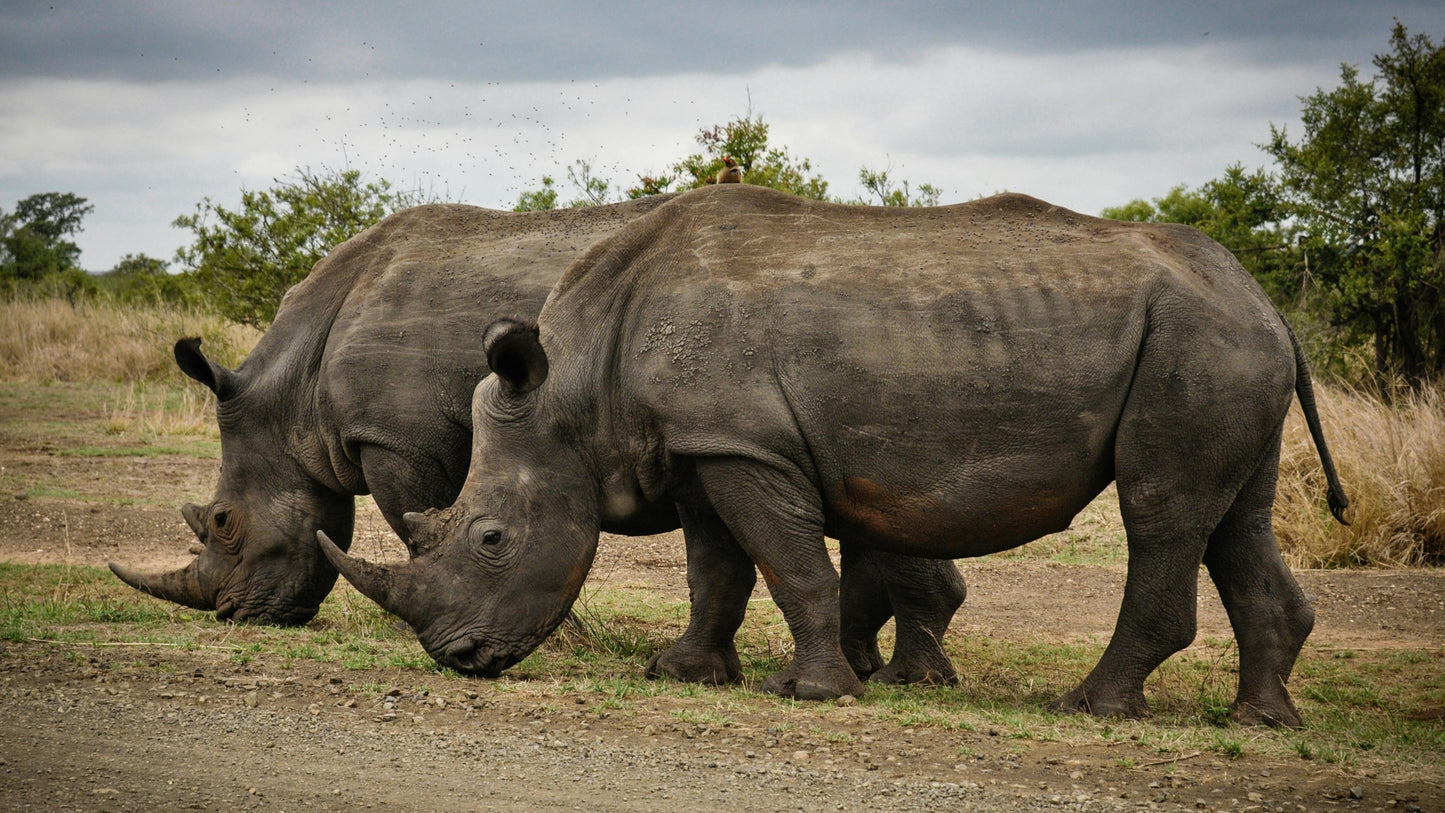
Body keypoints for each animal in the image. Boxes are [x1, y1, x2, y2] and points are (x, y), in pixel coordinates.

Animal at [109, 195, 964, 684]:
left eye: (224, 522)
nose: (231, 612)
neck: (293, 392)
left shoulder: (397, 439)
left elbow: (420, 523)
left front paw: (563, 639)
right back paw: (879, 666)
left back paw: (890, 671)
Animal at [323, 184, 1348, 726]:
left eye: (490, 538)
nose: (458, 657)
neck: (575, 388)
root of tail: (1265, 302)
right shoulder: (703, 446)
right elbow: (716, 569)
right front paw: (681, 672)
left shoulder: (746, 447)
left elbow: (787, 563)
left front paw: (811, 691)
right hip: (1219, 344)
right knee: (1232, 517)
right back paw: (1260, 718)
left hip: (1197, 345)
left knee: (1160, 510)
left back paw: (1089, 706)